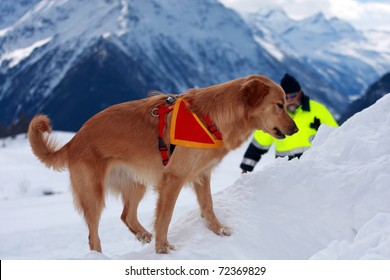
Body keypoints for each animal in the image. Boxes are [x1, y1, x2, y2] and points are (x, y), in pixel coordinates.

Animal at [28, 74, 298, 254]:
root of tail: (75, 140)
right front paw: (162, 249)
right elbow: (165, 217)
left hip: (136, 185)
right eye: (280, 105)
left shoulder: (201, 176)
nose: (296, 130)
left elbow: (208, 207)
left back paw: (143, 235)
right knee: (93, 238)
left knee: (126, 216)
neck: (210, 117)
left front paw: (219, 231)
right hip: (93, 195)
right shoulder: (174, 180)